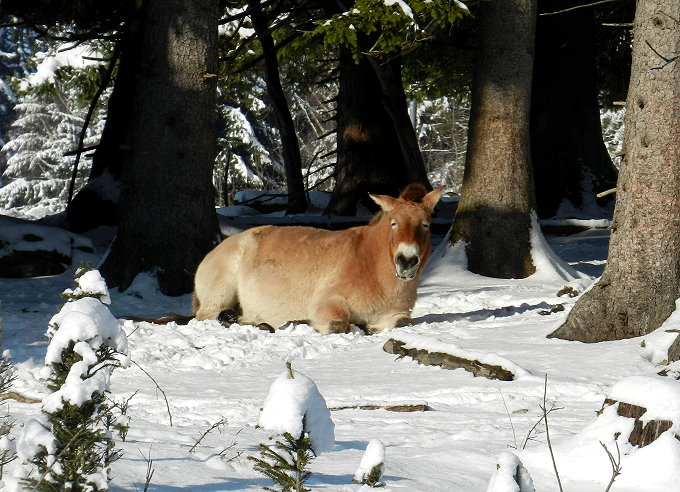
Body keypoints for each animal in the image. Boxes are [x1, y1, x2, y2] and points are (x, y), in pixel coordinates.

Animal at [194, 184, 444, 334]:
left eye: (425, 225)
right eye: (394, 223)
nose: (406, 261)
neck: (371, 266)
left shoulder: (396, 314)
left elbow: (402, 323)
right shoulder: (328, 303)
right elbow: (338, 325)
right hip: (220, 291)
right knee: (207, 316)